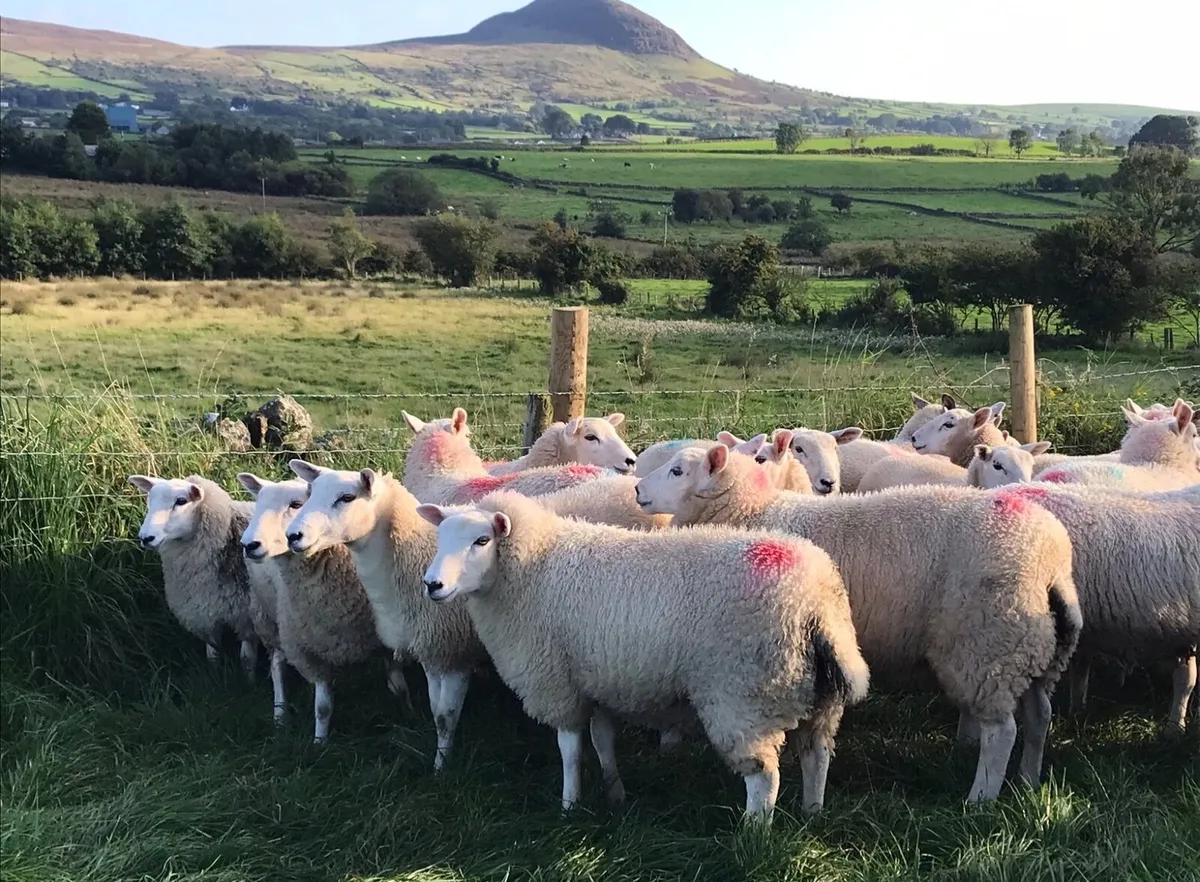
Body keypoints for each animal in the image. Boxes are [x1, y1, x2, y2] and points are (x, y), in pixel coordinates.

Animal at [129, 474, 272, 683]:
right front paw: (214, 677)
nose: (145, 537)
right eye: (150, 499)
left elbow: (247, 659)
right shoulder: (203, 610)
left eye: (181, 501)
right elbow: (212, 654)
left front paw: (249, 684)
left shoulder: (248, 617)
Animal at [237, 473, 410, 742]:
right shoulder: (310, 651)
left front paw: (405, 710)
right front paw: (320, 742)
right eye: (259, 504)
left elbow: (398, 682)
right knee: (277, 665)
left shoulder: (387, 637)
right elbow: (323, 706)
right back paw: (280, 713)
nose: (248, 544)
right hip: (272, 619)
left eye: (296, 504)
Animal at [286, 460, 488, 771]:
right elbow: (435, 710)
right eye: (310, 493)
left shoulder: (453, 650)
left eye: (347, 497)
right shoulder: (431, 650)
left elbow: (446, 717)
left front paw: (441, 769)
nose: (293, 536)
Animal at [415, 490, 869, 822]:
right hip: (819, 693)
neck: (532, 568)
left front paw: (569, 806)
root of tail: (814, 599)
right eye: (440, 539)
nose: (432, 585)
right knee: (817, 755)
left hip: (744, 692)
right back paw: (812, 814)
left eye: (482, 540)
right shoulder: (596, 676)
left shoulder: (557, 681)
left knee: (764, 777)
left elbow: (569, 749)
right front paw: (614, 793)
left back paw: (753, 835)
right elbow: (602, 740)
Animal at [636, 446, 1081, 802]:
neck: (751, 511)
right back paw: (1027, 781)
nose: (638, 490)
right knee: (1039, 716)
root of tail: (1051, 561)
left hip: (987, 642)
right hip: (1035, 646)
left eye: (678, 471)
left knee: (1002, 731)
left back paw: (980, 799)